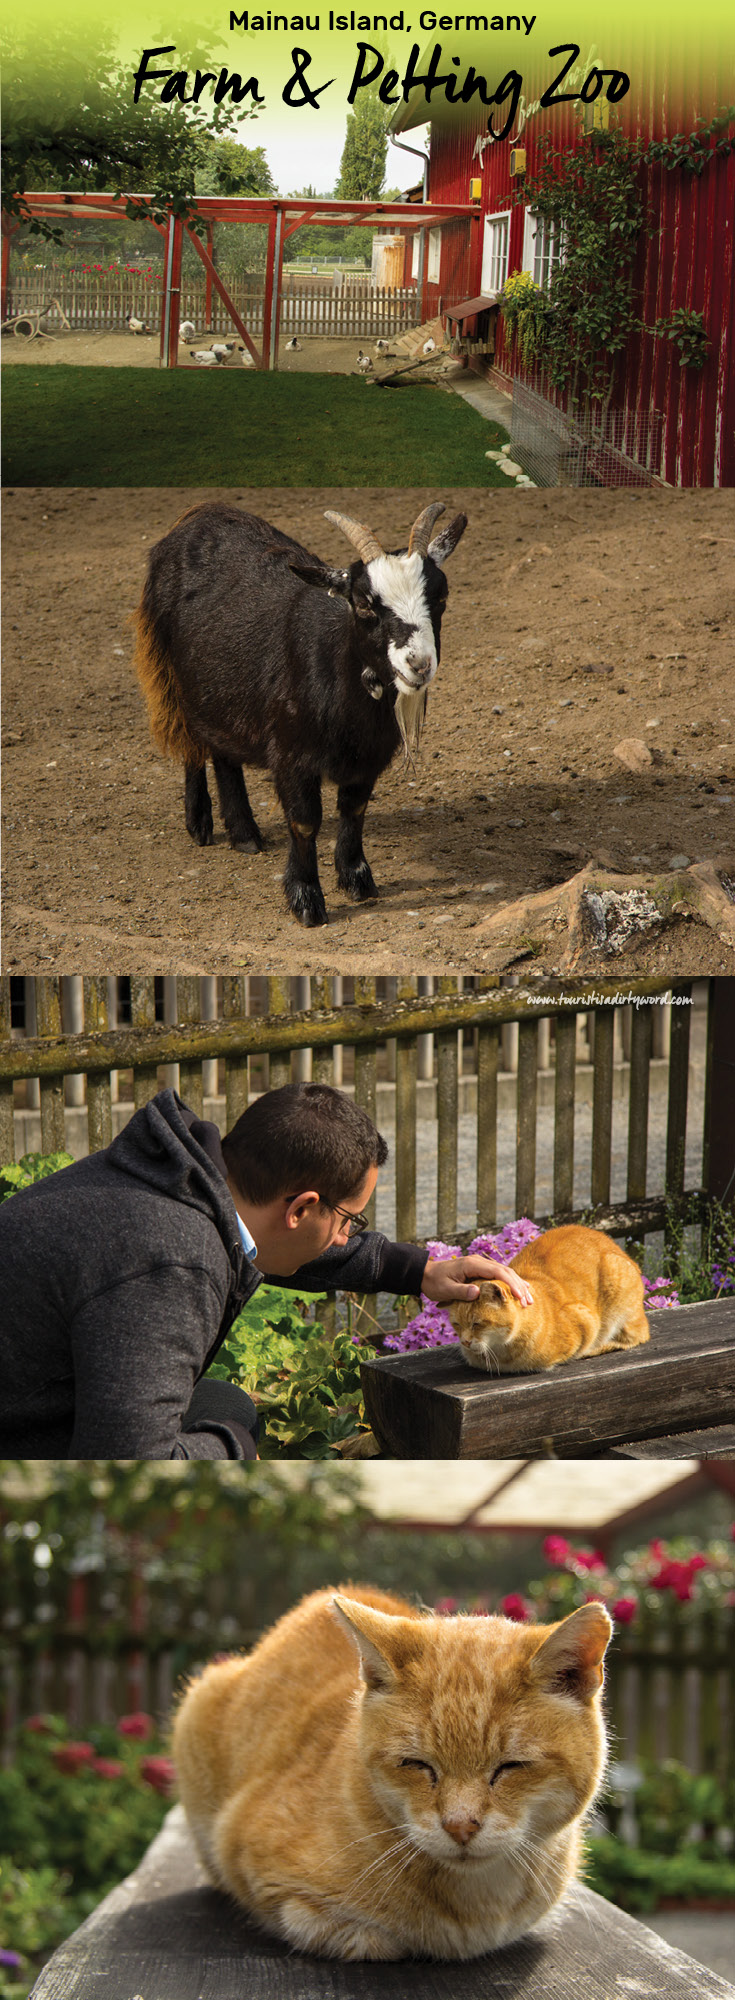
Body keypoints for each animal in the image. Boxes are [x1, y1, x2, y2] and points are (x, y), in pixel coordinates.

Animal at [135, 508, 467, 928]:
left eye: (441, 597)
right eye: (363, 605)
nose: (419, 665)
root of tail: (198, 515)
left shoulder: (368, 757)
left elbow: (354, 810)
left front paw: (357, 879)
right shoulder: (293, 755)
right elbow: (306, 822)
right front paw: (306, 900)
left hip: (223, 690)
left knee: (225, 753)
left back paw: (244, 833)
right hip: (171, 674)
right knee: (191, 743)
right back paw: (199, 823)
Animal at [447, 1216, 647, 1376]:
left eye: (477, 1324)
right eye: (456, 1325)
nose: (465, 1342)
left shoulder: (587, 1320)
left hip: (617, 1290)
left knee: (636, 1337)